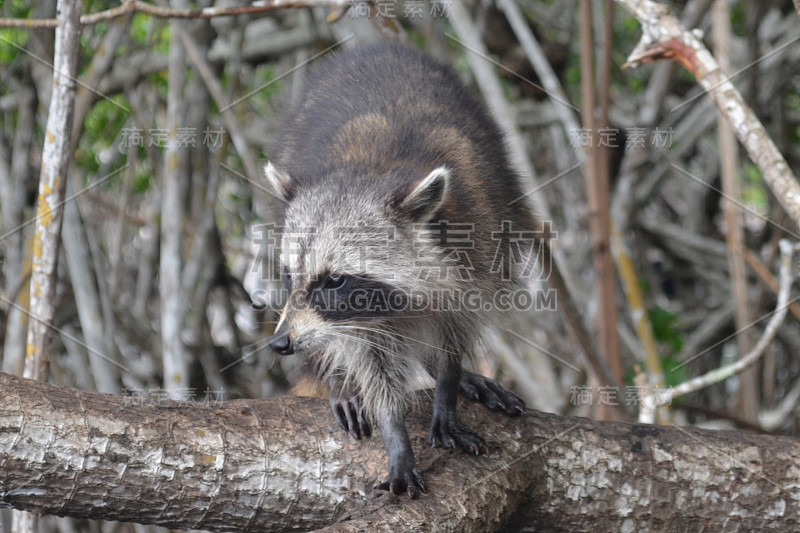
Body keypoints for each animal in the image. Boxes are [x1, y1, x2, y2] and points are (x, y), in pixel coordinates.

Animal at [266, 43, 536, 496]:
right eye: (289, 276)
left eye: (334, 280)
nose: (280, 343)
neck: (374, 169)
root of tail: (373, 48)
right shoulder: (356, 321)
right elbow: (370, 361)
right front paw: (394, 433)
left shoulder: (479, 242)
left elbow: (455, 329)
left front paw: (448, 386)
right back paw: (339, 381)